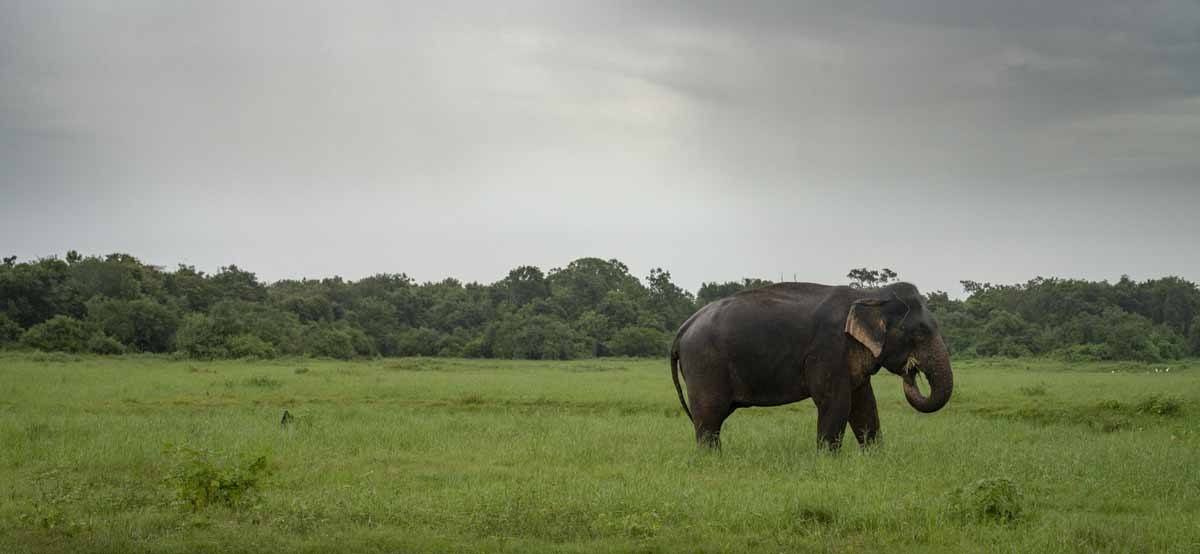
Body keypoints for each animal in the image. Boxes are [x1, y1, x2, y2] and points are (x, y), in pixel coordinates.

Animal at [672, 281, 950, 450]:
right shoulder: (828, 349)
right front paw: (829, 463)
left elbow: (864, 405)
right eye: (919, 332)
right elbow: (835, 402)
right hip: (704, 364)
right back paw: (712, 461)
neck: (870, 296)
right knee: (710, 416)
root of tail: (685, 326)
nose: (911, 371)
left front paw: (875, 458)